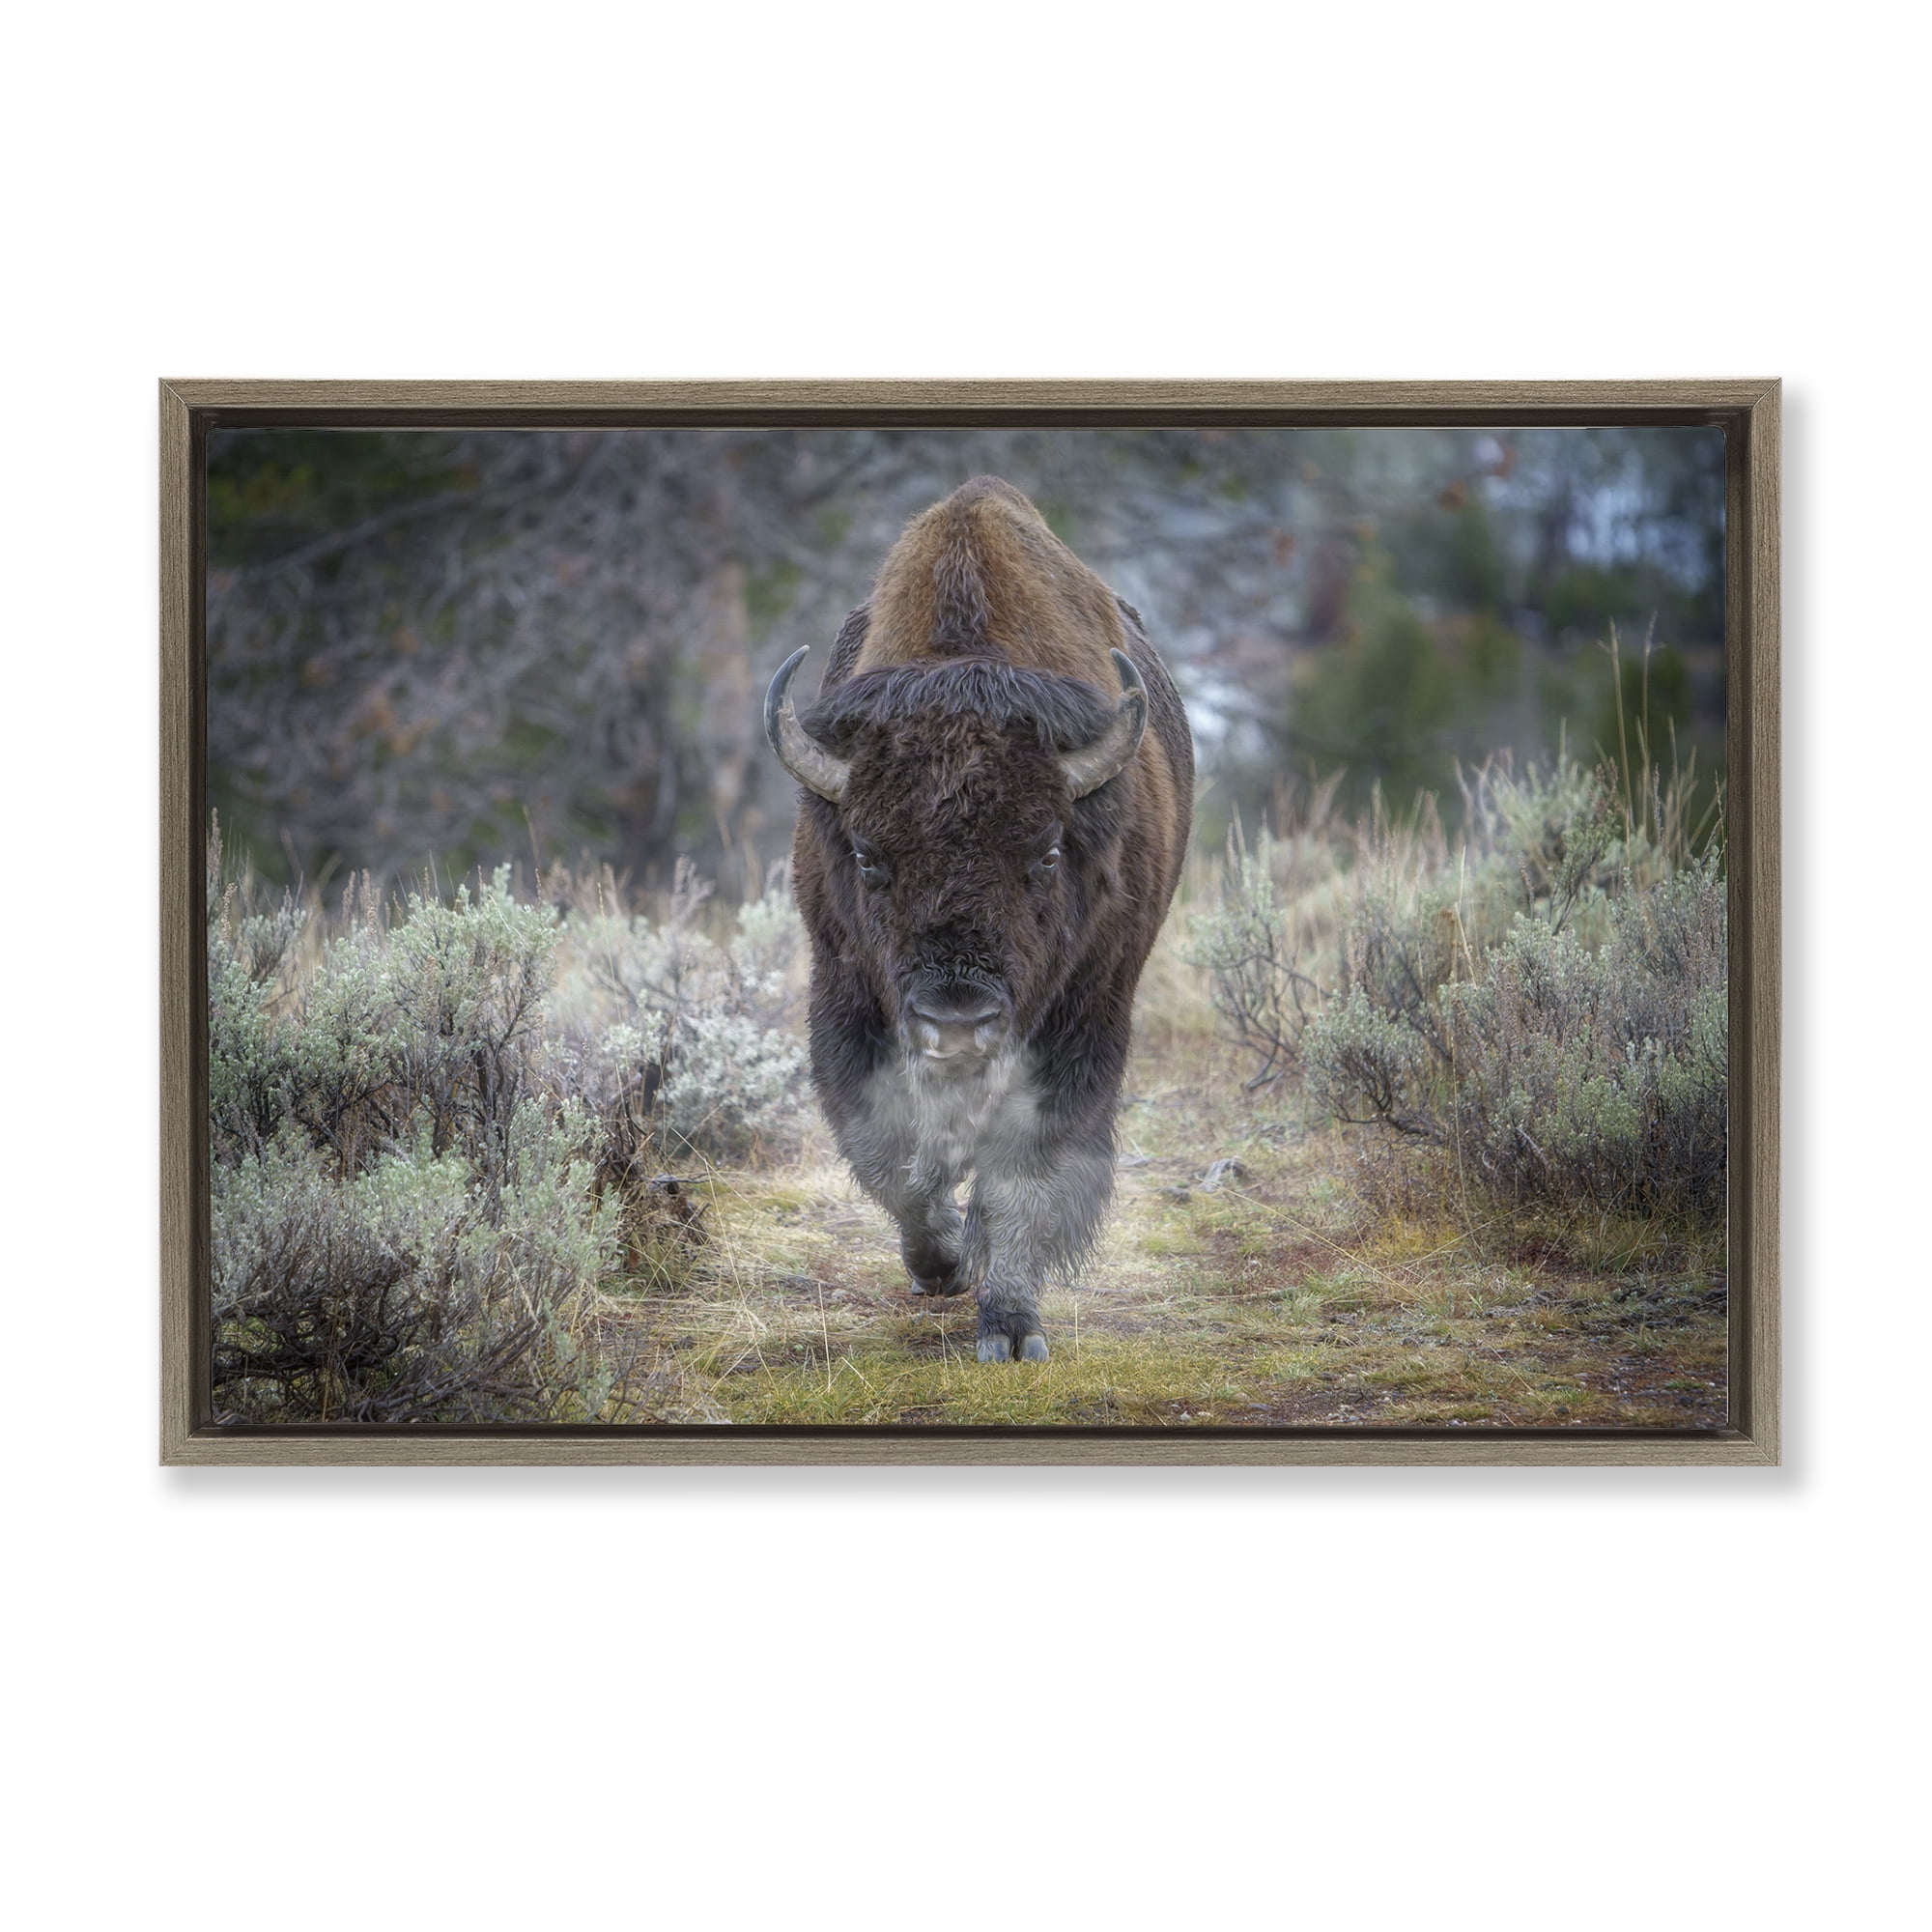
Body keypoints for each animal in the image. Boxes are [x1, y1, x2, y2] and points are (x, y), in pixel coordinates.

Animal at [763, 477, 1193, 1362]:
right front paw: (941, 1266)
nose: (957, 1022)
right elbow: (894, 1157)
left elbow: (1026, 1171)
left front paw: (1011, 1326)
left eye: (1046, 853)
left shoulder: (1082, 1020)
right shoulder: (846, 1000)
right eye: (868, 855)